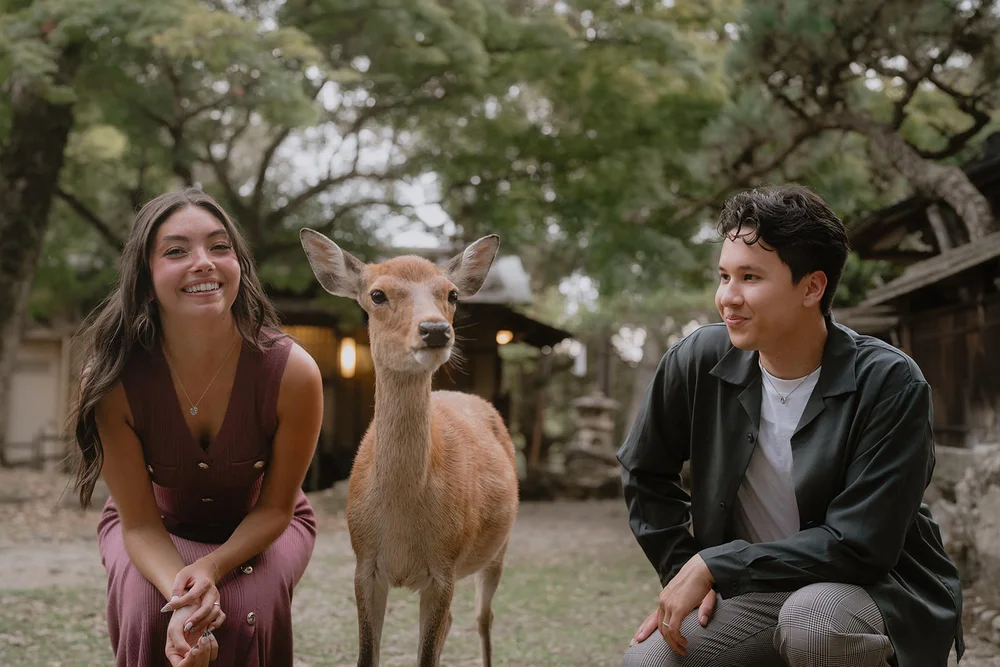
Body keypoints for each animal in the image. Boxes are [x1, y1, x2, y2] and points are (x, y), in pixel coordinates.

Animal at [299, 228, 520, 667]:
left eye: (452, 294)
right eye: (377, 294)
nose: (435, 330)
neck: (402, 523)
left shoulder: (444, 568)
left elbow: (427, 656)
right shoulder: (364, 565)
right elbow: (368, 655)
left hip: (498, 549)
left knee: (483, 618)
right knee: (456, 620)